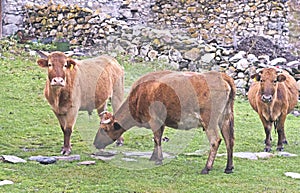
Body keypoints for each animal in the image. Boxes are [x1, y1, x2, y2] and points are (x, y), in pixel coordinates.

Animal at [92, 71, 236, 175]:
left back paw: (206, 168)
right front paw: (153, 157)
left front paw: (158, 159)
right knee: (229, 140)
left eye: (104, 129)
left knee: (215, 141)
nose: (95, 143)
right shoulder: (161, 122)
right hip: (226, 118)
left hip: (209, 121)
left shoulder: (154, 120)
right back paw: (228, 167)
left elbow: (157, 139)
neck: (139, 95)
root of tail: (221, 76)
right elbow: (158, 139)